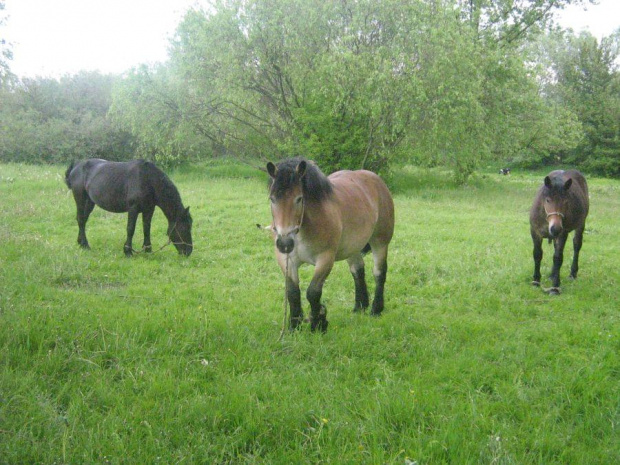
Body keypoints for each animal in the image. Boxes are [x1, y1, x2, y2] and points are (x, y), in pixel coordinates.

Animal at [64, 158, 193, 256]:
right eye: (185, 227)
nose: (189, 251)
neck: (147, 180)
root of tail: (77, 165)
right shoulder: (133, 209)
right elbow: (131, 229)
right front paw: (128, 251)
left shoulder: (149, 209)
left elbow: (147, 228)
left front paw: (147, 249)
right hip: (80, 199)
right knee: (81, 220)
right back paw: (85, 245)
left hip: (90, 202)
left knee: (83, 220)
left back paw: (80, 242)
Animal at [266, 158, 392, 332]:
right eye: (272, 199)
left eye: (299, 199)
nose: (285, 243)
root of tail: (377, 181)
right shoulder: (287, 261)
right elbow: (292, 292)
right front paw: (294, 326)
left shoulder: (325, 259)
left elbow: (312, 292)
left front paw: (318, 323)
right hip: (352, 248)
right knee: (358, 271)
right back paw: (359, 306)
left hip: (380, 242)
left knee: (379, 273)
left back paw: (376, 309)